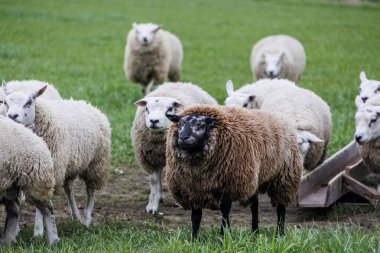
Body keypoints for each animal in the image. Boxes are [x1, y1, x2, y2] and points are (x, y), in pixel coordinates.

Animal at [0, 116, 58, 245]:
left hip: (36, 181)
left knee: (48, 209)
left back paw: (53, 240)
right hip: (10, 184)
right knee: (14, 210)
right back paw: (7, 241)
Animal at [131, 82, 217, 214]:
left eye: (169, 109)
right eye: (147, 109)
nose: (154, 121)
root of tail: (181, 83)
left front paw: (180, 202)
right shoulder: (150, 159)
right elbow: (154, 181)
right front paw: (152, 206)